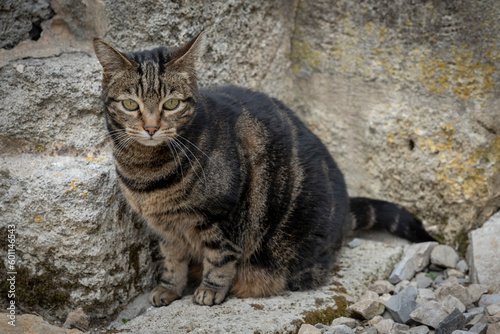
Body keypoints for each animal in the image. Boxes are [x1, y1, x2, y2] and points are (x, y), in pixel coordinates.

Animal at [93, 32, 434, 308]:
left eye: (172, 104)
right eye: (131, 105)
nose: (151, 128)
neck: (146, 172)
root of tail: (343, 216)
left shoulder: (224, 214)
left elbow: (219, 257)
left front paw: (210, 290)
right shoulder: (165, 229)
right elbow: (171, 260)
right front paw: (169, 288)